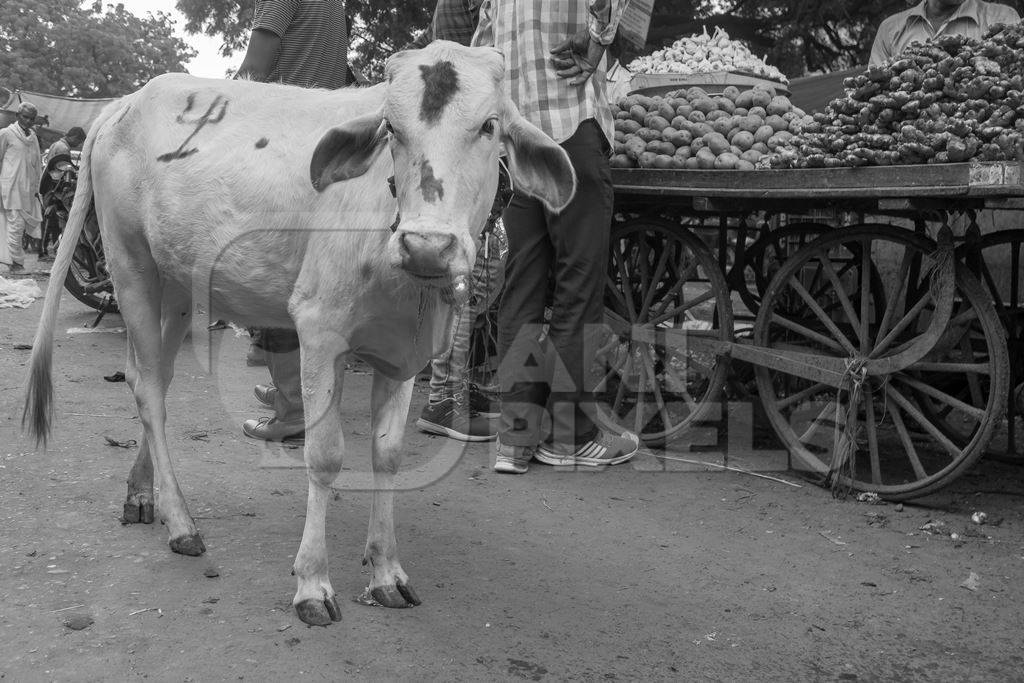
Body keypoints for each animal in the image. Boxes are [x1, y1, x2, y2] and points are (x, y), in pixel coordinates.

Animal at [24, 42, 577, 626]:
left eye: (489, 126)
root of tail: (123, 104)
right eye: (392, 129)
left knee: (145, 378)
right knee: (150, 390)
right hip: (131, 266)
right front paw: (312, 581)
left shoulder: (404, 355)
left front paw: (386, 572)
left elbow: (388, 455)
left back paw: (141, 494)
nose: (427, 245)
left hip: (174, 288)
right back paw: (181, 522)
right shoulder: (318, 332)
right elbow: (326, 455)